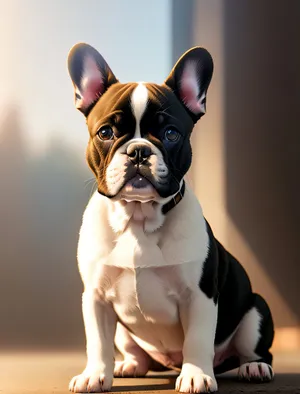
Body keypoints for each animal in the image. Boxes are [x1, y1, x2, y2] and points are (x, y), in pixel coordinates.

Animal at [67, 43, 274, 394]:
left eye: (171, 134)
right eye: (106, 132)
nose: (138, 150)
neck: (138, 217)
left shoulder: (199, 295)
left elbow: (198, 339)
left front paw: (195, 375)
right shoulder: (95, 297)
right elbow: (97, 341)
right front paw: (95, 374)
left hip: (256, 311)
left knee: (255, 349)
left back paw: (254, 367)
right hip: (125, 332)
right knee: (135, 352)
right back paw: (129, 365)